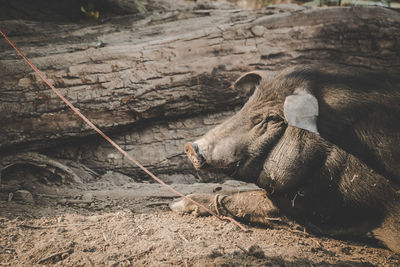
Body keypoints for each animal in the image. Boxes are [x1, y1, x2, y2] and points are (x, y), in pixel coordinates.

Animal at [171, 65, 400, 253]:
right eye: (245, 106)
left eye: (272, 118)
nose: (191, 147)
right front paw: (177, 203)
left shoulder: (329, 206)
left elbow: (251, 199)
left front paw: (177, 205)